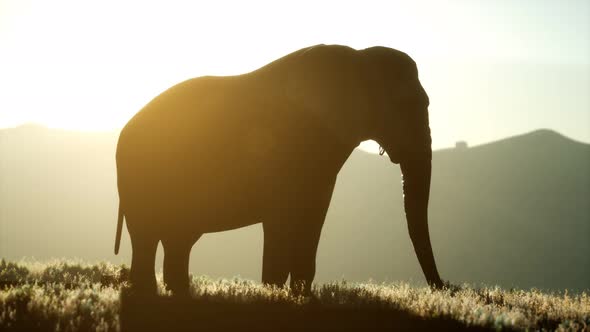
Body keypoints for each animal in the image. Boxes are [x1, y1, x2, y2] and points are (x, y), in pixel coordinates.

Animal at [114, 42, 444, 294]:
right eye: (408, 104)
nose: (442, 287)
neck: (358, 58)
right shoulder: (282, 149)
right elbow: (279, 216)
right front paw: (274, 293)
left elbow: (314, 214)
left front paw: (300, 294)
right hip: (137, 176)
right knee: (147, 235)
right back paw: (147, 293)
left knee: (178, 239)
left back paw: (179, 292)